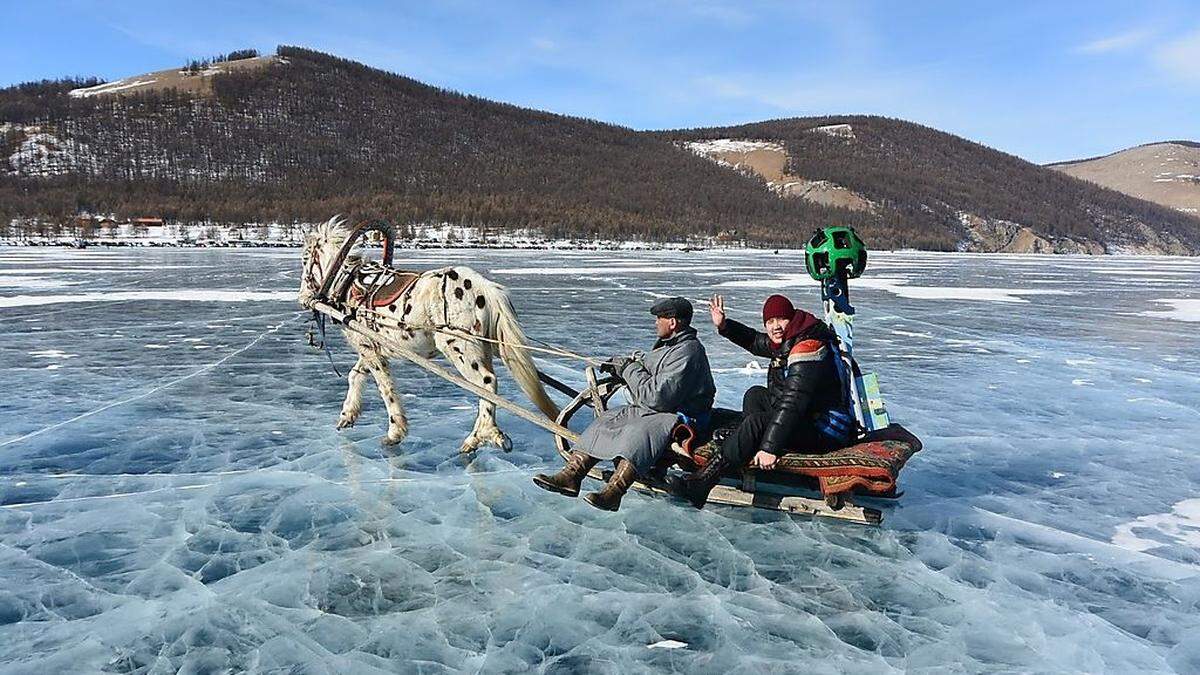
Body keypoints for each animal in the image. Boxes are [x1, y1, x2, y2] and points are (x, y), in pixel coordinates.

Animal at [300, 216, 561, 451]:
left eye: (305, 261)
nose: (303, 298)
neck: (348, 284)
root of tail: (486, 288)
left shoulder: (369, 349)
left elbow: (385, 387)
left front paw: (395, 432)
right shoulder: (372, 347)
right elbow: (355, 375)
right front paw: (347, 415)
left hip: (460, 347)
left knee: (487, 383)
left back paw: (480, 437)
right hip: (483, 349)